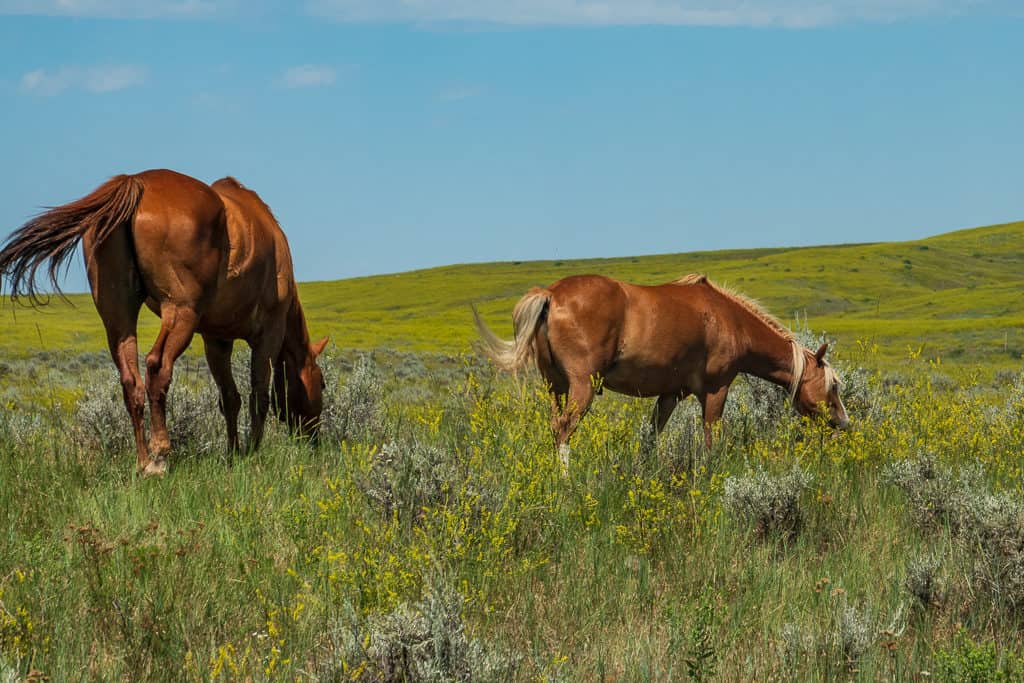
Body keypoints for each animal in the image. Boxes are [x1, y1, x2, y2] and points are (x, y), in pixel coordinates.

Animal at [0, 169, 328, 475]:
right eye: (322, 383)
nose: (314, 440)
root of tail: (135, 182)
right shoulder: (268, 334)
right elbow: (258, 395)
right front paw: (251, 454)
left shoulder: (216, 340)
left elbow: (230, 398)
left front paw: (233, 454)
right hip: (180, 313)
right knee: (157, 367)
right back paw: (159, 457)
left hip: (118, 315)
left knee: (131, 380)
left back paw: (142, 460)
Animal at [474, 273, 849, 468]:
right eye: (833, 386)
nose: (844, 422)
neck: (729, 320)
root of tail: (550, 295)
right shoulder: (716, 390)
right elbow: (712, 438)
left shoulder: (671, 393)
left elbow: (651, 437)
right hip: (582, 386)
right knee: (565, 429)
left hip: (555, 386)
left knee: (555, 426)